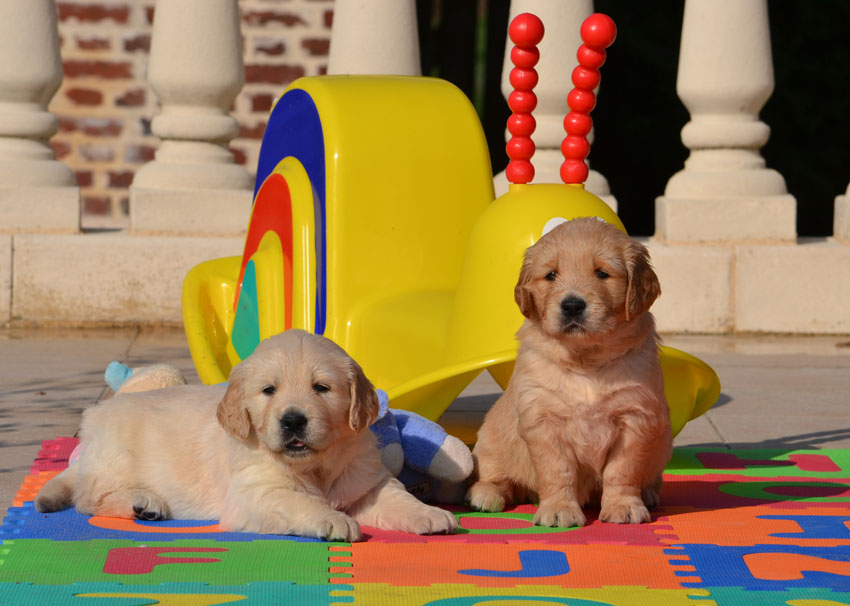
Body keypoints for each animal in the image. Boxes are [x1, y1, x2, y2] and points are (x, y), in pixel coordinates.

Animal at [35, 330, 458, 544]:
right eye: (268, 390)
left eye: (321, 388)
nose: (293, 421)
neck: (314, 465)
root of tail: (96, 416)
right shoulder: (256, 493)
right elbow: (299, 502)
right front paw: (331, 519)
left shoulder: (366, 482)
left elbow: (396, 496)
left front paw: (429, 513)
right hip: (116, 459)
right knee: (87, 498)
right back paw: (143, 502)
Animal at [464, 217, 668, 528]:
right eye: (551, 275)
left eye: (602, 273)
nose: (572, 305)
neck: (586, 360)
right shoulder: (543, 420)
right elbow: (558, 471)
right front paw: (559, 509)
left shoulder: (635, 417)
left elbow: (622, 470)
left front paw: (624, 506)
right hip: (492, 440)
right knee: (496, 476)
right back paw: (484, 495)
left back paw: (648, 494)